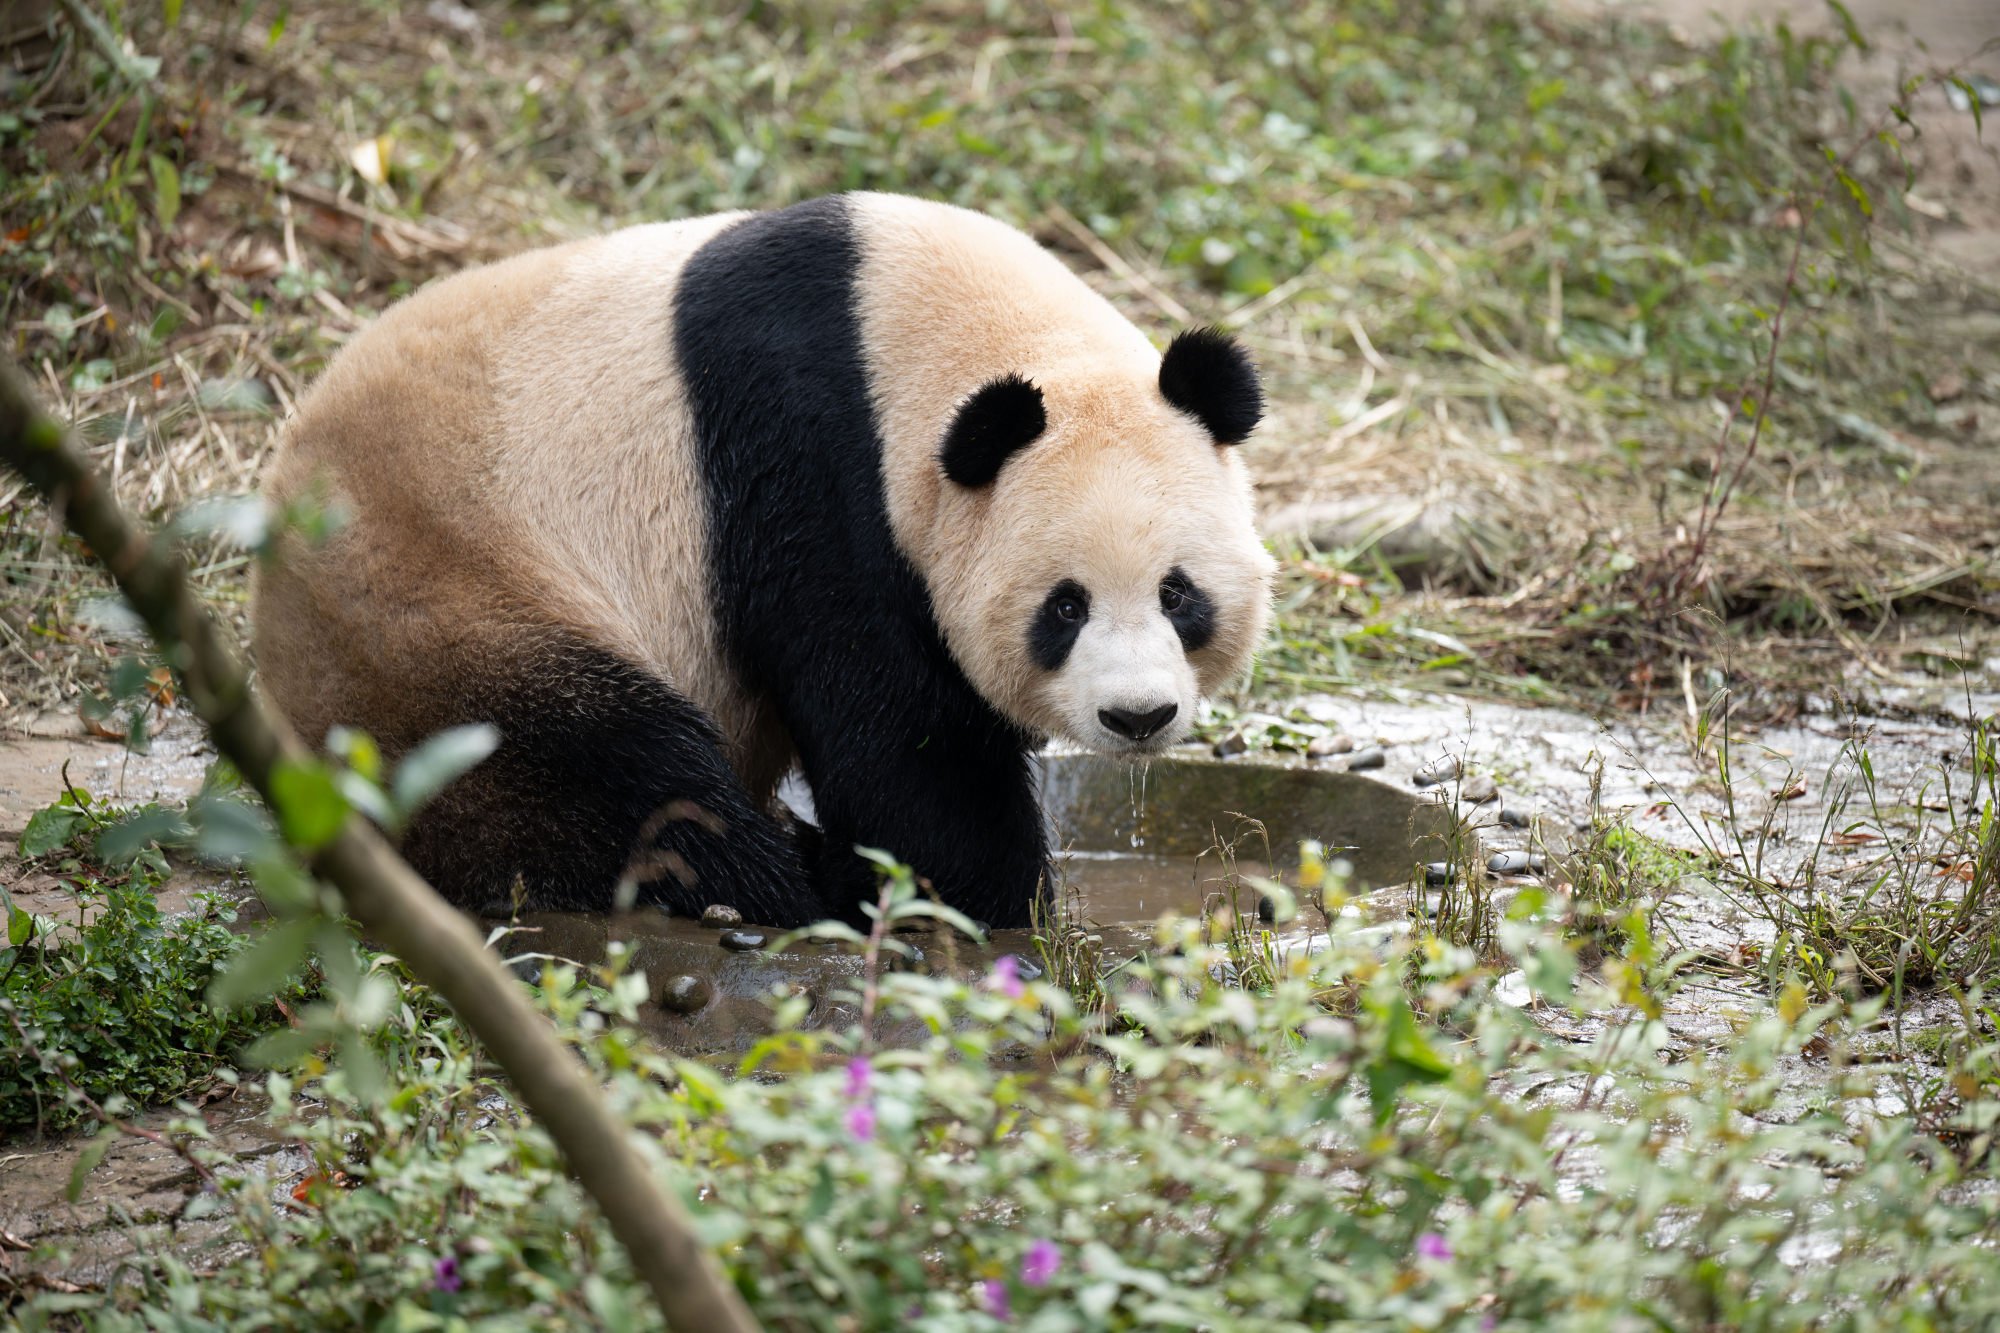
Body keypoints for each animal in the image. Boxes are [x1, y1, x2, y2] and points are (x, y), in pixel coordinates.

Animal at [254, 195, 1264, 924]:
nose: (1137, 716)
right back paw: (787, 887)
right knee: (620, 778)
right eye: (1065, 606)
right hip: (444, 604)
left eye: (1179, 595)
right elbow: (902, 743)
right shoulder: (811, 477)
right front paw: (996, 901)